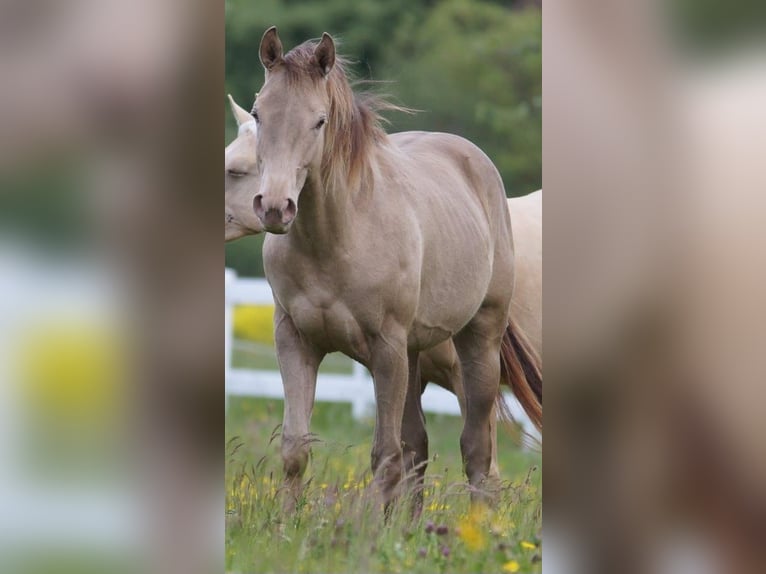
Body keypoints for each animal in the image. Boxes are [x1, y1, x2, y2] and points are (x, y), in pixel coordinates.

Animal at [238, 28, 541, 509]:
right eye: (257, 114)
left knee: (477, 452)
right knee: (418, 447)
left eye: (319, 121)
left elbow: (384, 454)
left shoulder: (385, 347)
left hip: (476, 342)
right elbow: (296, 448)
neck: (336, 239)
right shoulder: (295, 340)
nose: (273, 207)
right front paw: (288, 521)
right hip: (413, 355)